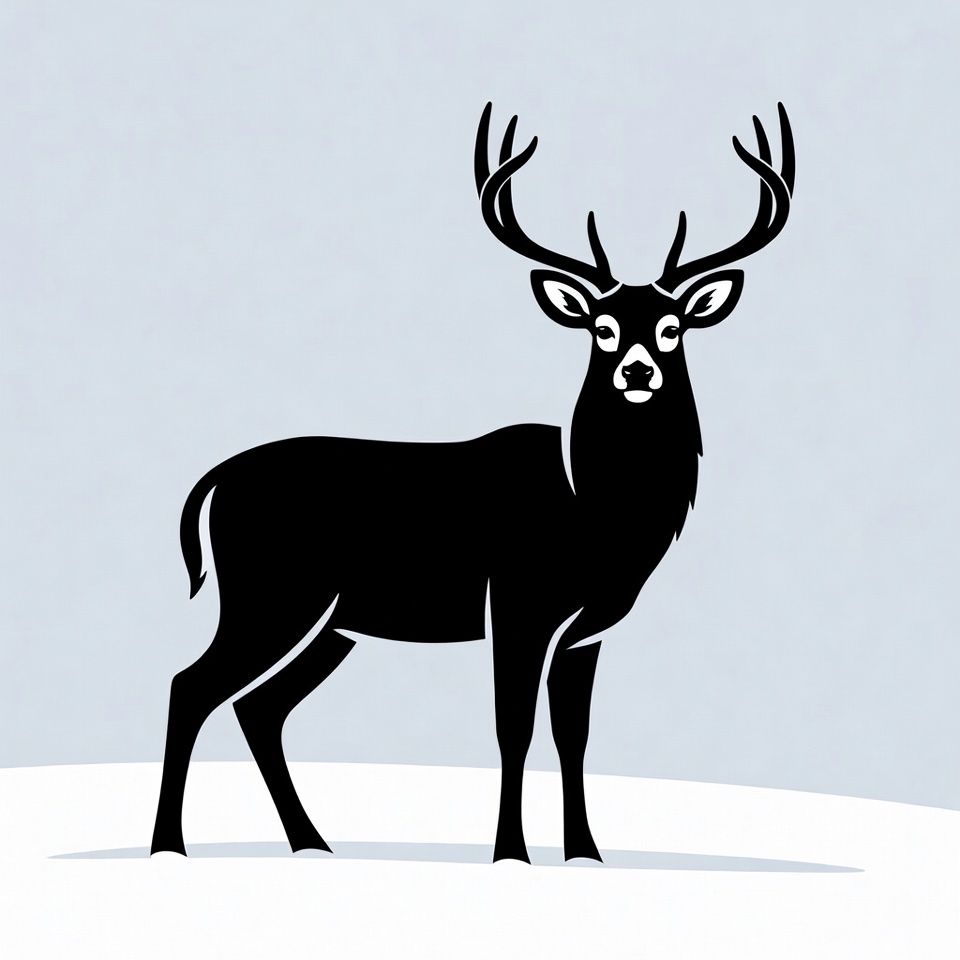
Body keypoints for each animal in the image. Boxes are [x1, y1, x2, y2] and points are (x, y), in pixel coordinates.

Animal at [150, 101, 794, 864]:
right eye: (601, 327)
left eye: (672, 327)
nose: (637, 371)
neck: (593, 513)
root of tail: (216, 481)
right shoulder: (517, 598)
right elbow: (513, 725)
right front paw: (510, 854)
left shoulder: (585, 632)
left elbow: (573, 735)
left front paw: (585, 854)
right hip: (272, 591)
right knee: (192, 686)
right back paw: (168, 848)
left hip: (333, 619)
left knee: (258, 706)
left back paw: (312, 844)